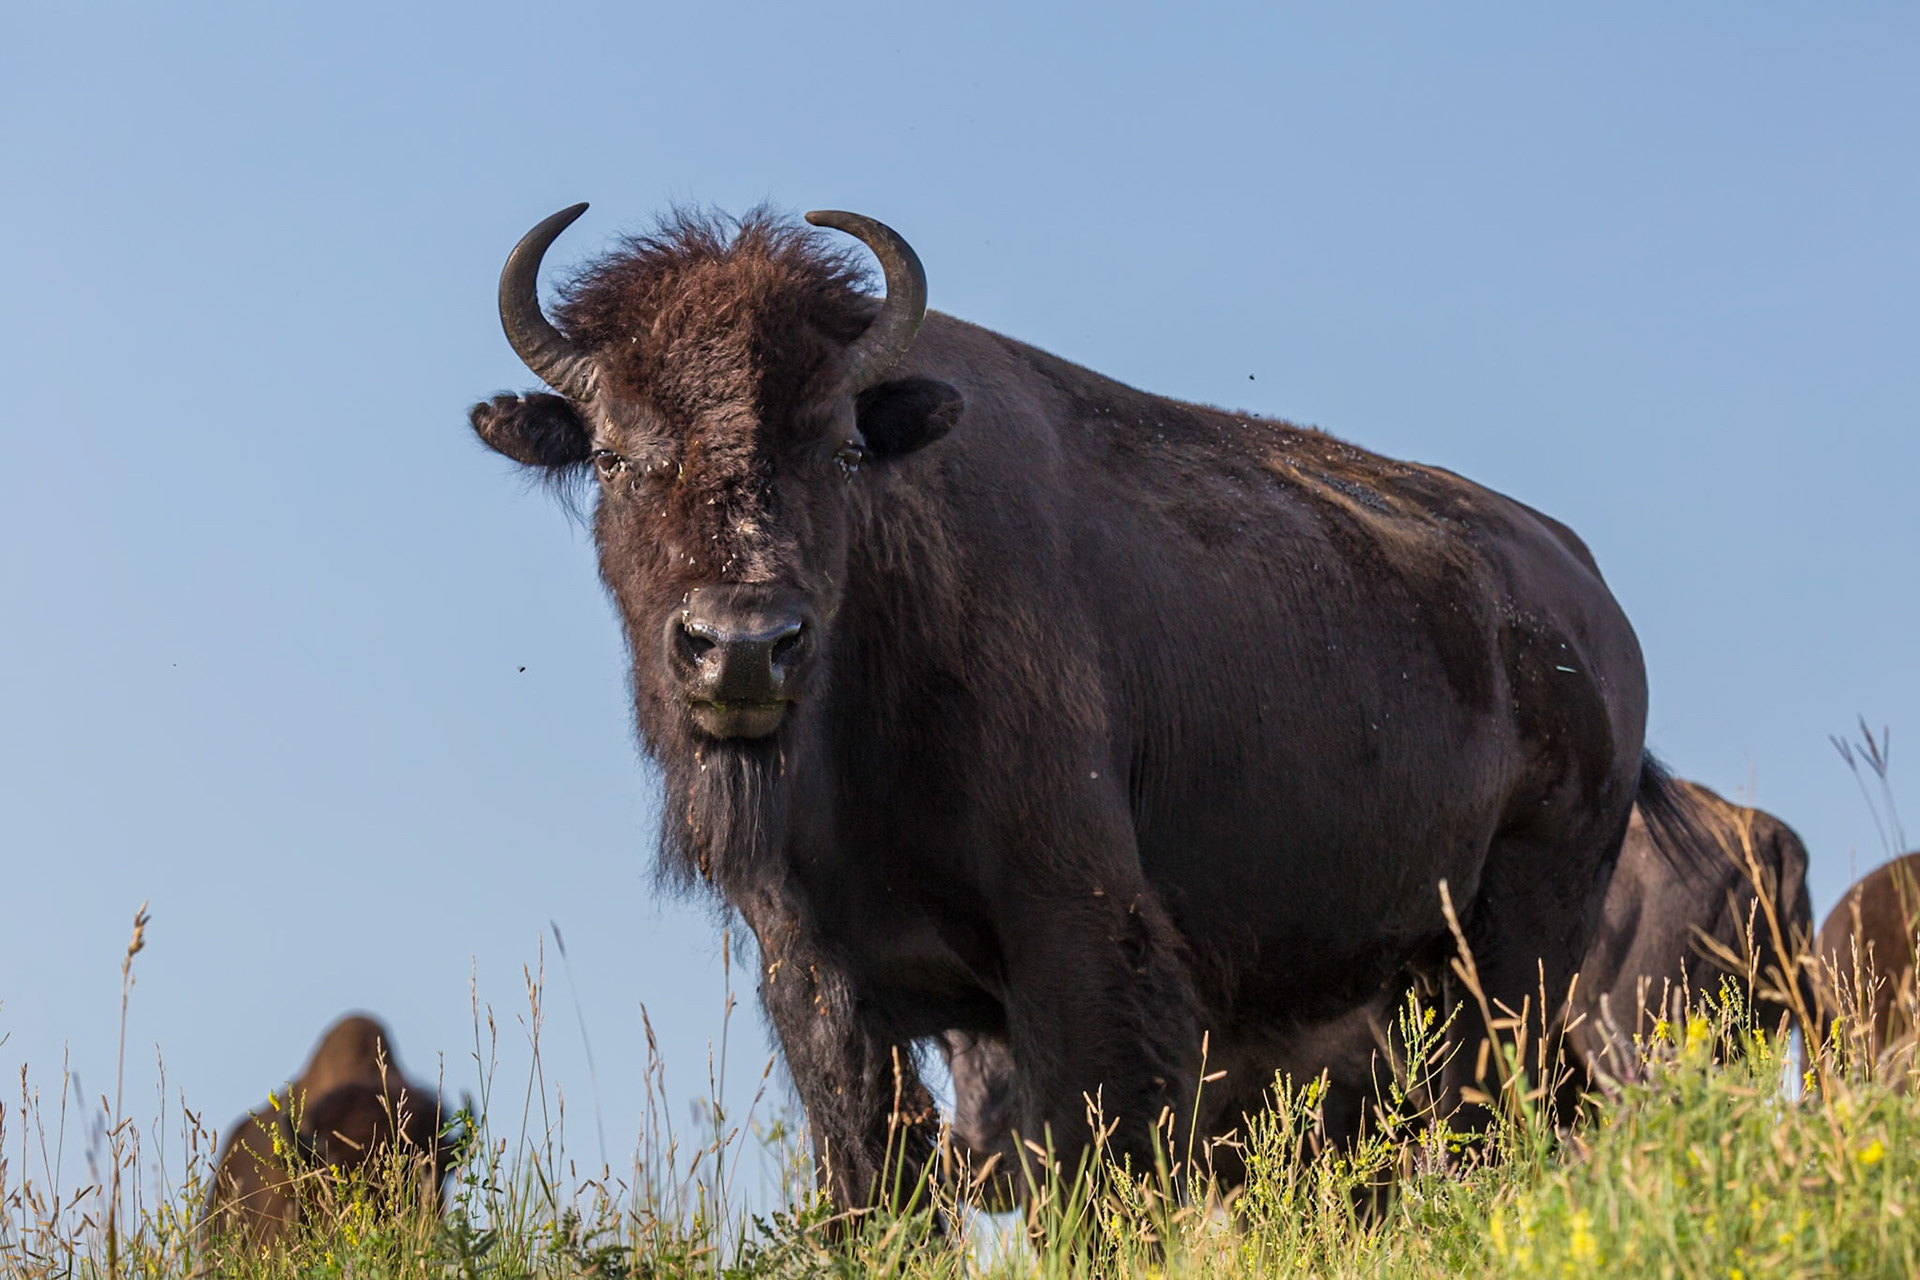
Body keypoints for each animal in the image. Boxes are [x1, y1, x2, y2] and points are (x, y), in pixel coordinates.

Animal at [470, 204, 1682, 1209]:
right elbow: (875, 1174)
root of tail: (1588, 610)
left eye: (844, 446)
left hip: (1513, 958)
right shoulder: (817, 974)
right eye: (614, 454)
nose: (743, 645)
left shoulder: (1080, 942)